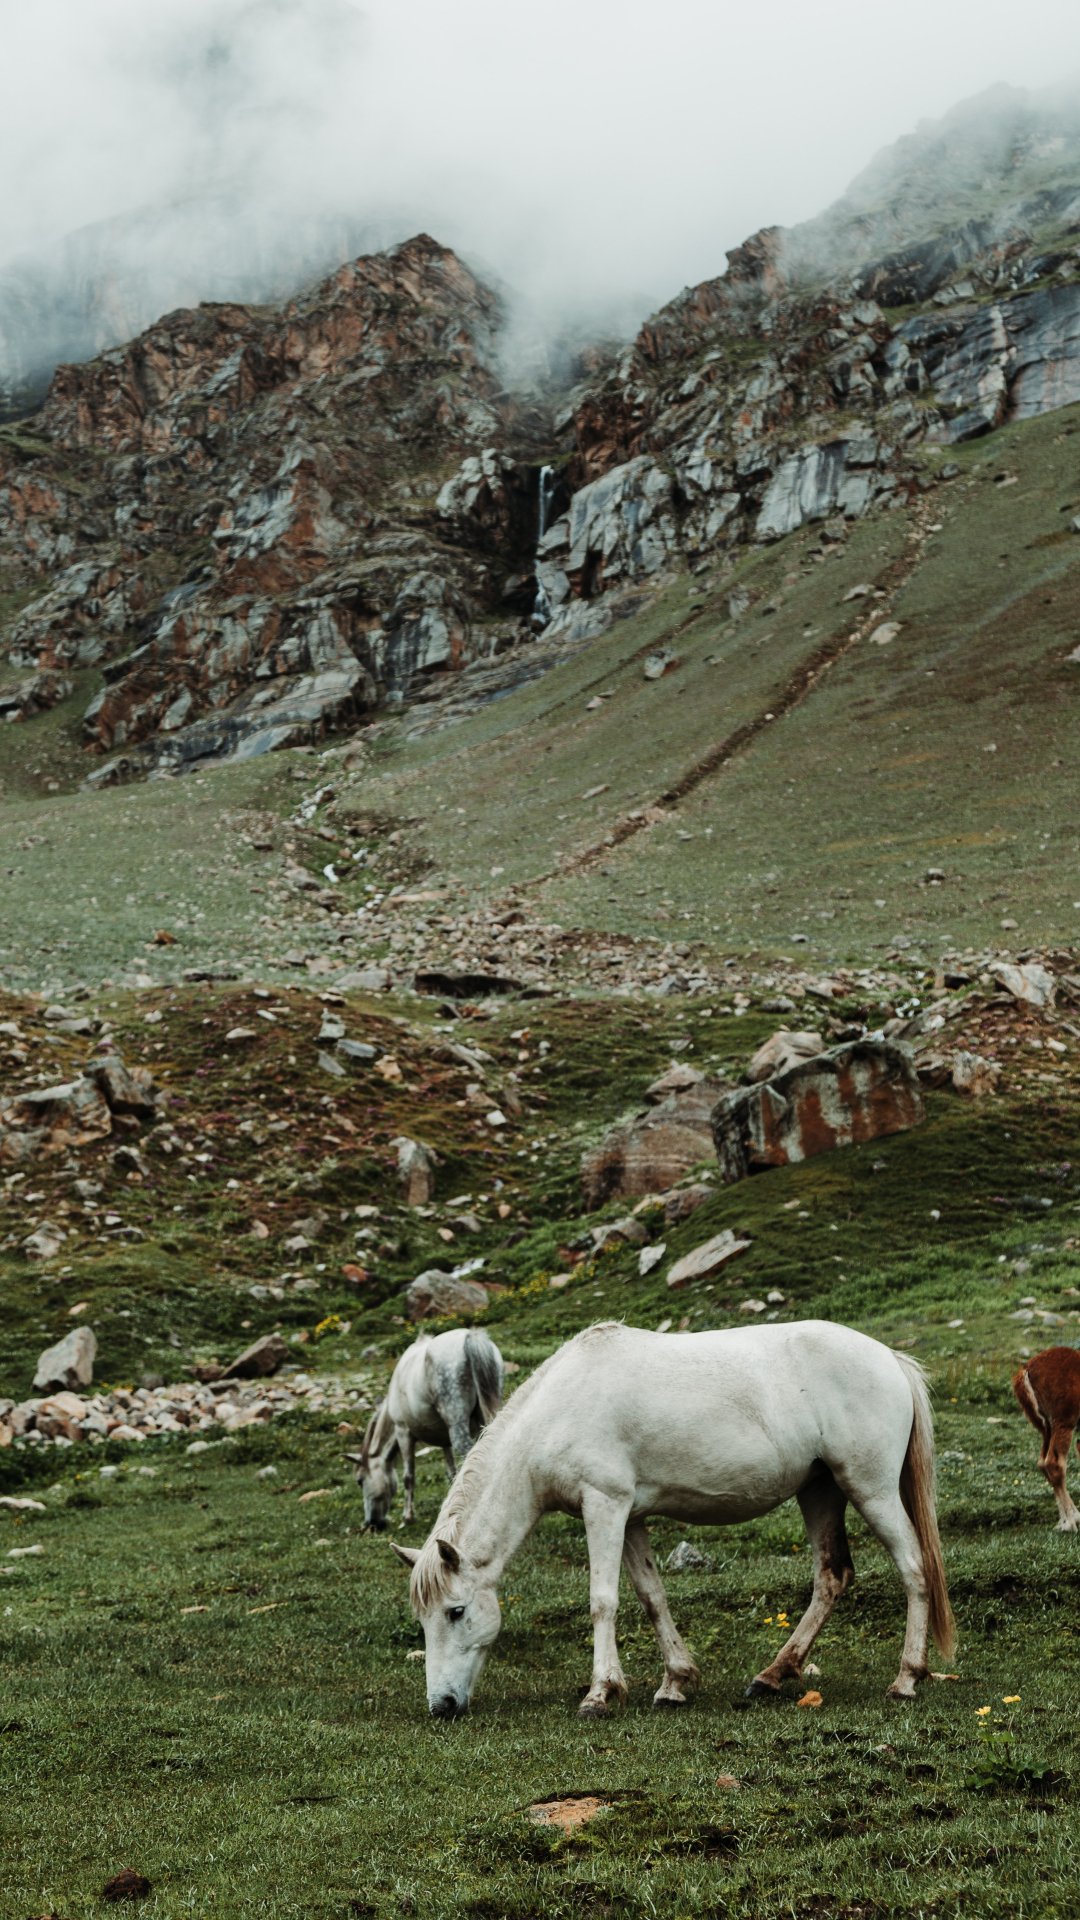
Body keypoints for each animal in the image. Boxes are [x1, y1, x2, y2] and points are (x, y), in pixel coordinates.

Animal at [349, 1328, 503, 1530]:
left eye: (360, 1481)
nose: (371, 1523)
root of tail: (470, 1337)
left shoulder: (403, 1433)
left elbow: (408, 1477)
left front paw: (407, 1517)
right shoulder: (445, 1440)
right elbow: (451, 1473)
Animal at [392, 1319, 954, 1718]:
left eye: (456, 1612)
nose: (441, 1706)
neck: (560, 1410)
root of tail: (889, 1358)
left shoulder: (604, 1506)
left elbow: (603, 1600)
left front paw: (599, 1694)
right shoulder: (629, 1516)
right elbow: (651, 1597)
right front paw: (675, 1682)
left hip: (870, 1488)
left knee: (913, 1567)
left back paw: (906, 1678)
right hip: (820, 1490)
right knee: (832, 1575)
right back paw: (773, 1674)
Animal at [1013, 1347, 1080, 1530]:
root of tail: (1025, 1370)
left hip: (1046, 1428)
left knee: (1043, 1463)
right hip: (1063, 1422)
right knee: (1054, 1464)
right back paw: (1071, 1522)